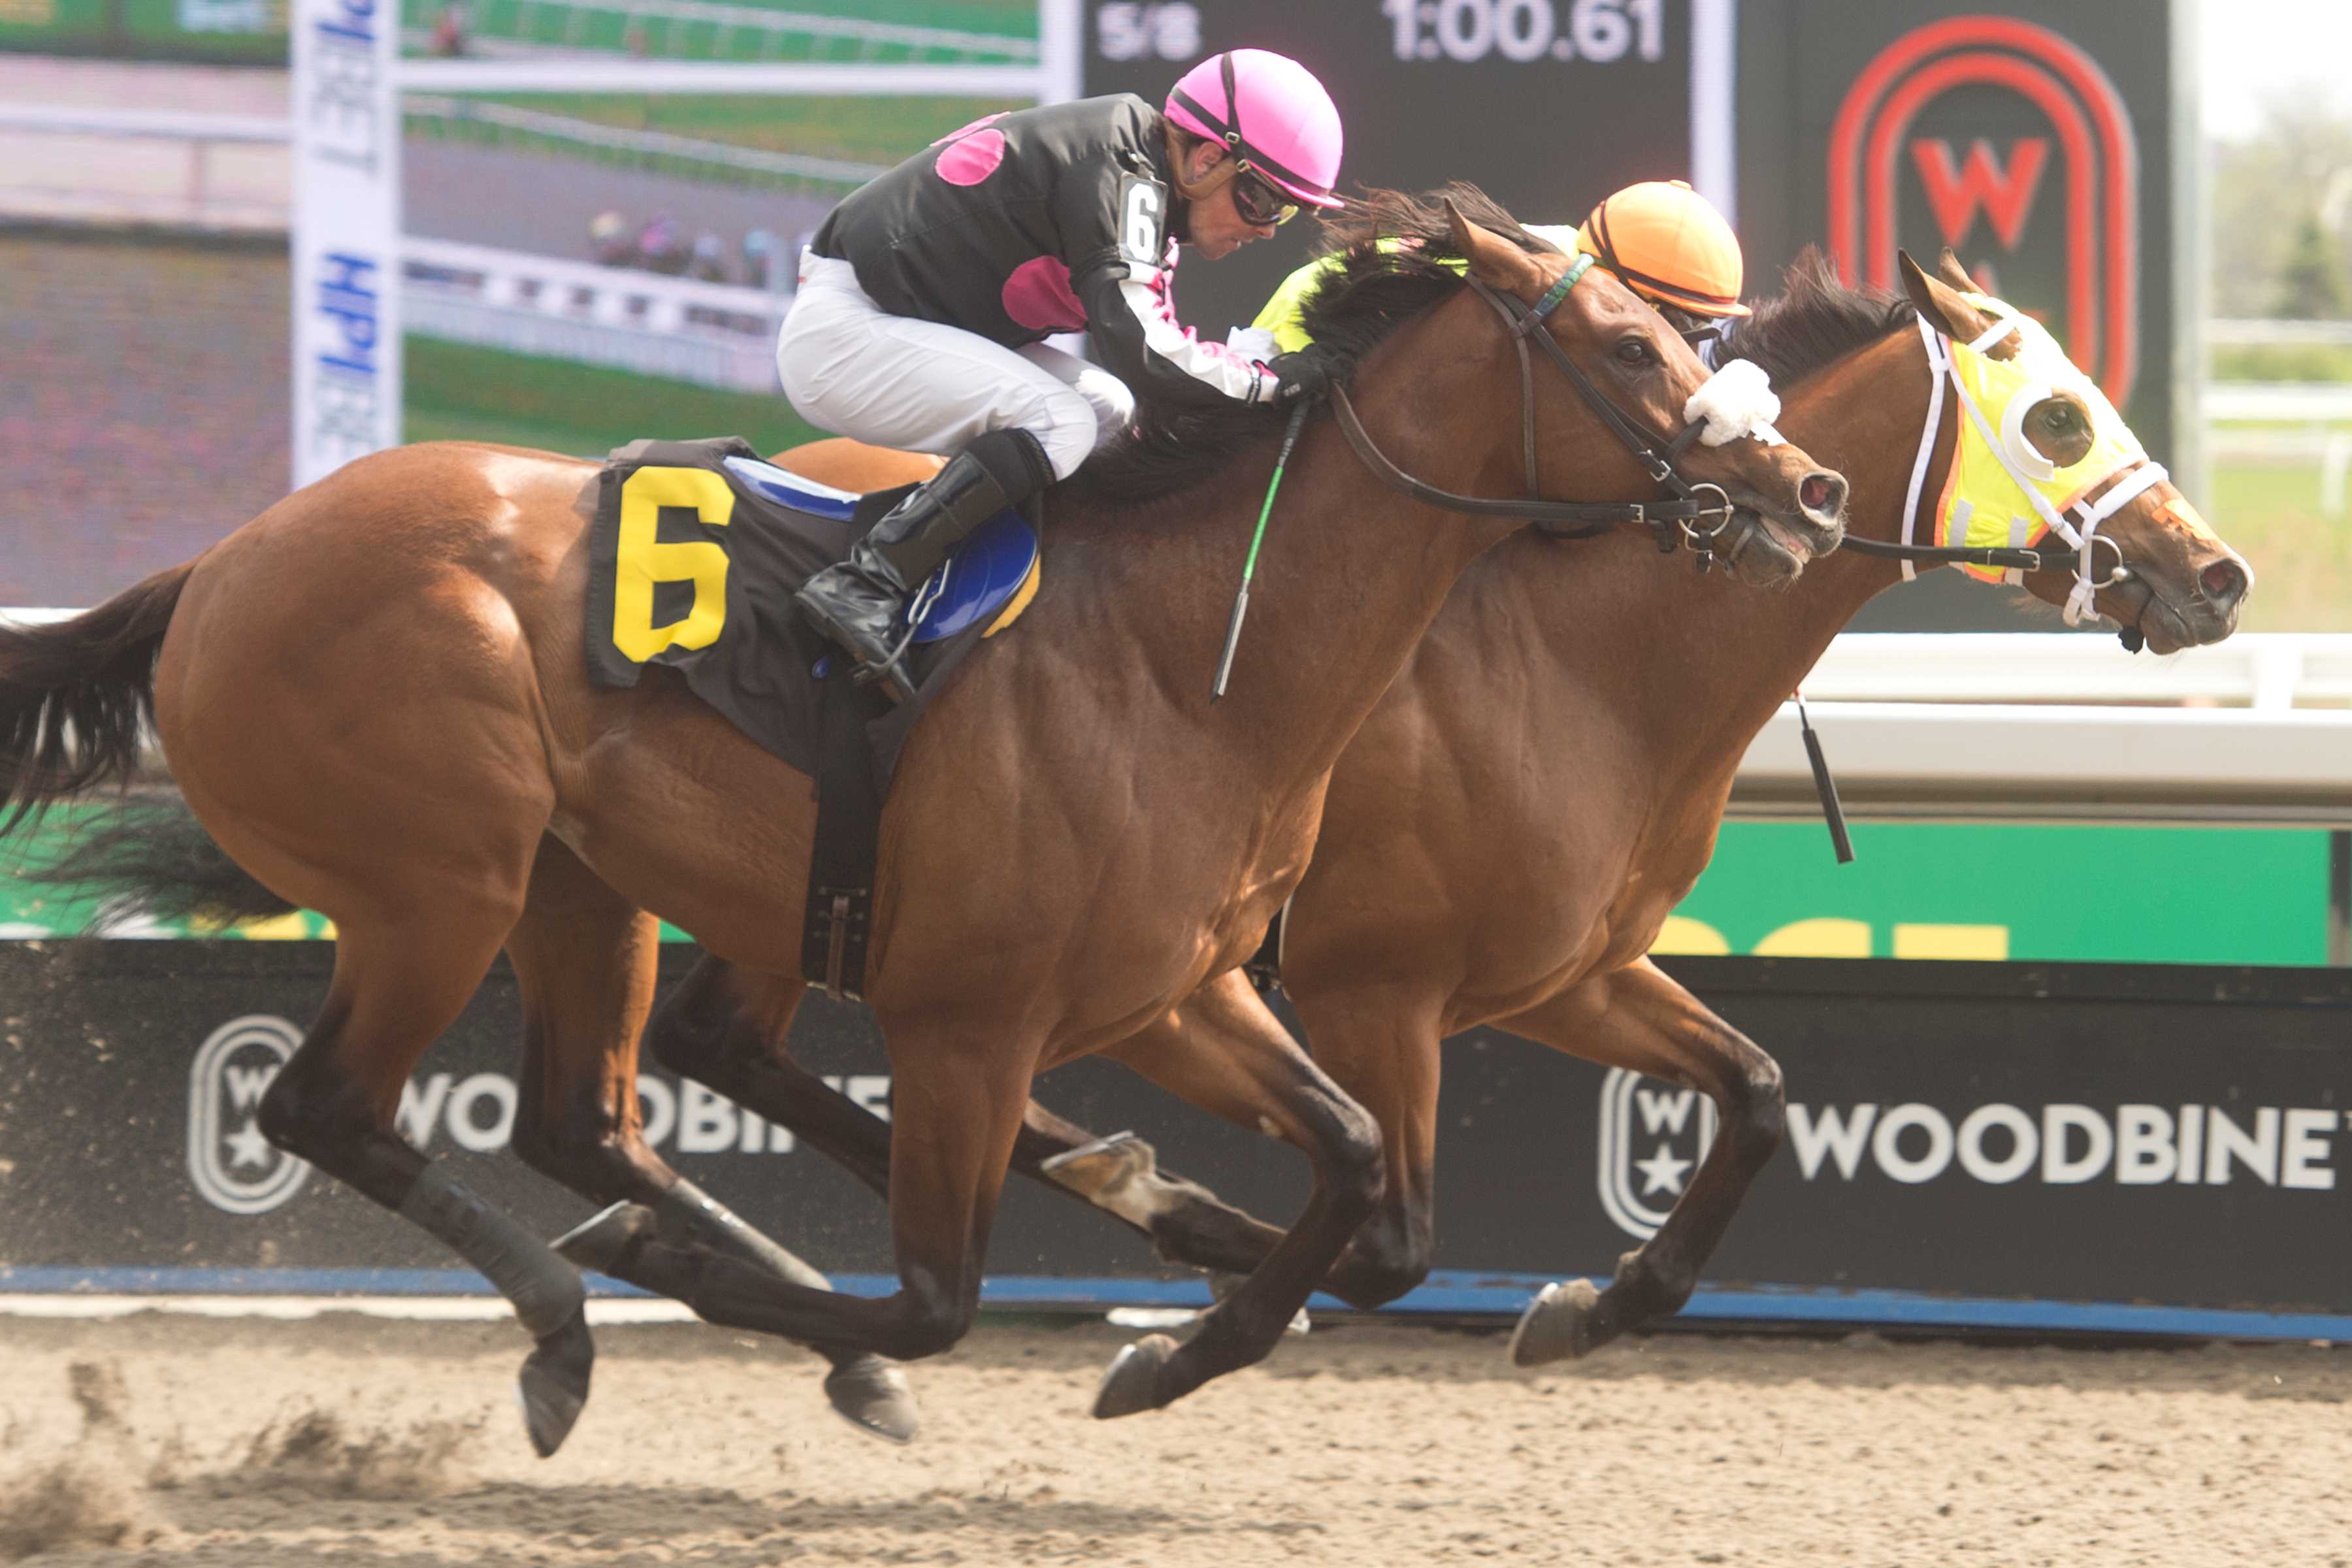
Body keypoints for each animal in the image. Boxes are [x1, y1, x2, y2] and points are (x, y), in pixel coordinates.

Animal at [0, 196, 1835, 1457]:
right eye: (1632, 347)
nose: (1802, 491)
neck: (1193, 652)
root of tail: (222, 564)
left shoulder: (1181, 990)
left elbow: (1364, 1173)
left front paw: (1175, 1329)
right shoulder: (978, 1017)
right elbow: (940, 1294)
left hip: (581, 884)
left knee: (583, 1119)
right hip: (439, 879)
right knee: (330, 1106)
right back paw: (580, 1326)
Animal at [672, 242, 2248, 1363]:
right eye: (2058, 416)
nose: (2220, 575)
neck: (1585, 657)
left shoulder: (1565, 972)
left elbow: (1754, 1093)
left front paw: (1586, 1308)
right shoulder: (1376, 991)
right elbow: (1393, 1231)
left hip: (816, 889)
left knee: (731, 1044)